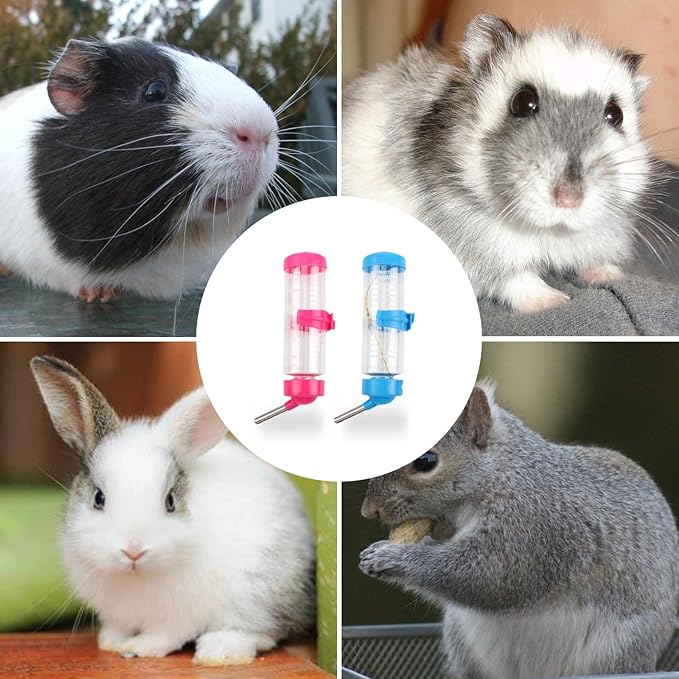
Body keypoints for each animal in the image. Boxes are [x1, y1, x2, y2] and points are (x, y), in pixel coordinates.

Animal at [359, 383, 679, 679]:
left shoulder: (533, 527)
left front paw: (393, 557)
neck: (500, 473)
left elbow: (490, 574)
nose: (369, 510)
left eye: (426, 461)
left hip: (617, 651)